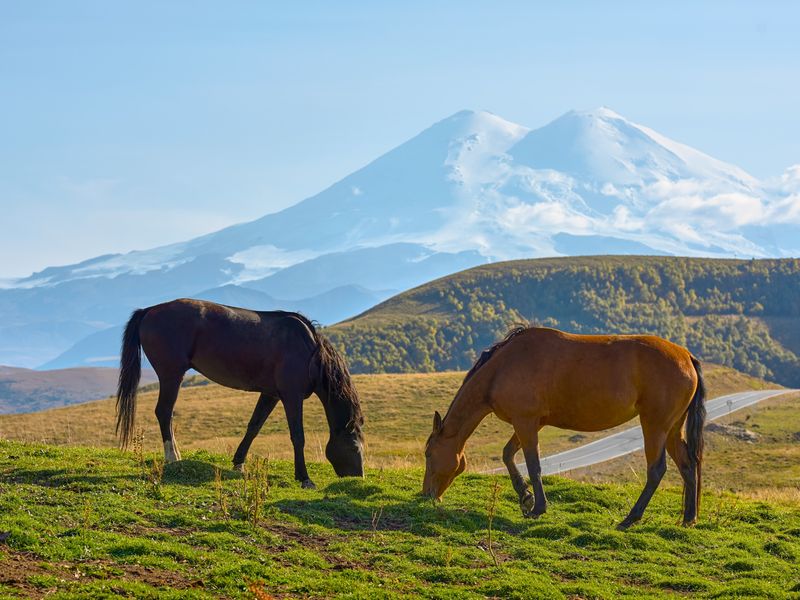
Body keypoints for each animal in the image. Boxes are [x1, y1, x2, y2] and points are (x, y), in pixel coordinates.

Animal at [115, 298, 364, 488]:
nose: (358, 478)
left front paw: (238, 463)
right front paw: (304, 478)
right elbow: (297, 436)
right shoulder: (291, 396)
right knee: (164, 412)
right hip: (171, 376)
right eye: (354, 447)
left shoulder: (271, 395)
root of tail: (149, 310)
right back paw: (173, 457)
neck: (309, 352)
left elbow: (253, 427)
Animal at [423, 326, 706, 529]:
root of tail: (686, 356)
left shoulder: (525, 423)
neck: (503, 368)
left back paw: (630, 519)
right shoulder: (529, 423)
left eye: (428, 454)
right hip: (672, 429)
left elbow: (533, 465)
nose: (426, 495)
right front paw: (525, 497)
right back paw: (688, 518)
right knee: (687, 465)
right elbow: (508, 455)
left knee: (656, 470)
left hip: (655, 426)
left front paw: (537, 507)